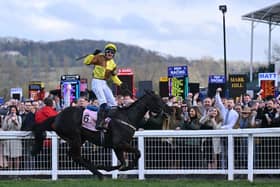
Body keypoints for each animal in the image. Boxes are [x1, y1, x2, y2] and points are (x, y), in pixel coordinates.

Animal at [31, 90, 165, 180]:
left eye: (160, 98)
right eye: (156, 99)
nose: (164, 111)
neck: (126, 117)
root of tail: (57, 117)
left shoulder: (117, 146)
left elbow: (123, 162)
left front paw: (110, 168)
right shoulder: (119, 143)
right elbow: (138, 153)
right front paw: (109, 167)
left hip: (78, 139)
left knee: (73, 155)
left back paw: (96, 169)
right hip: (75, 137)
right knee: (76, 156)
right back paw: (99, 173)